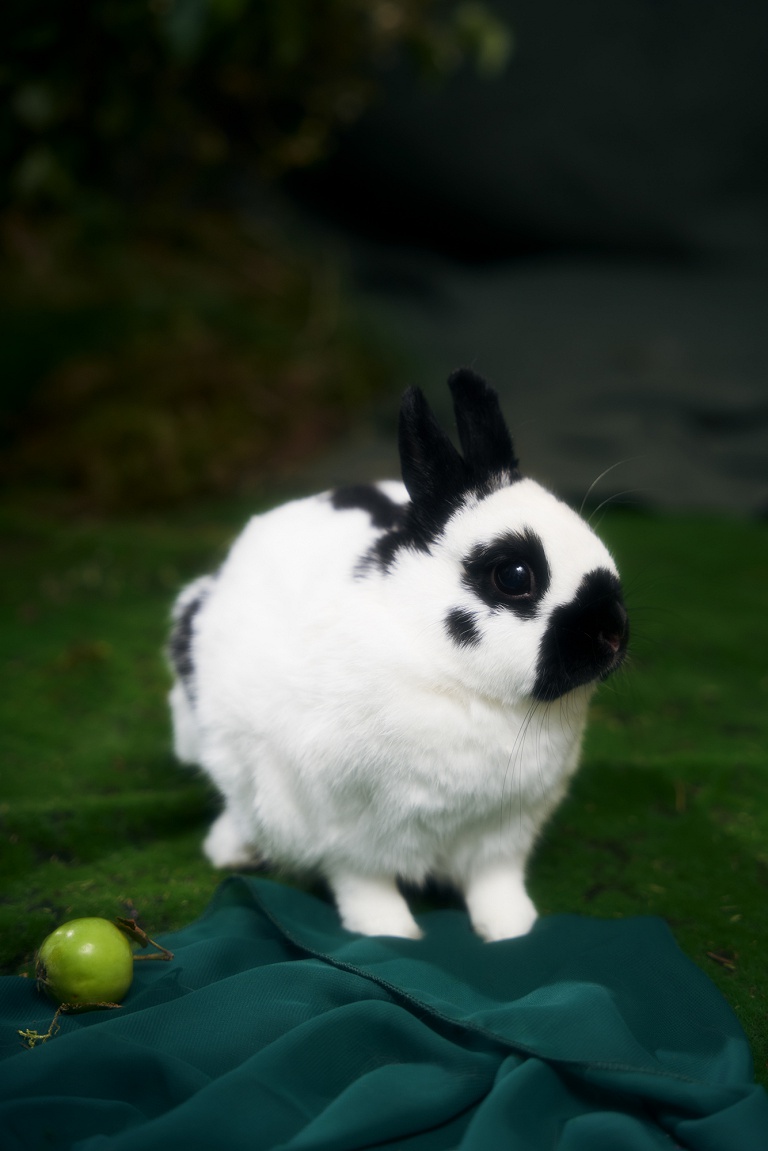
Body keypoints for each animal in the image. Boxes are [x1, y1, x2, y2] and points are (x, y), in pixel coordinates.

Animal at [168, 368, 628, 941]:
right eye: (514, 575)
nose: (613, 636)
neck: (467, 689)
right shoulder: (342, 827)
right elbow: (363, 882)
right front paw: (389, 933)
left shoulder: (503, 831)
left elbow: (494, 882)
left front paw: (512, 928)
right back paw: (231, 851)